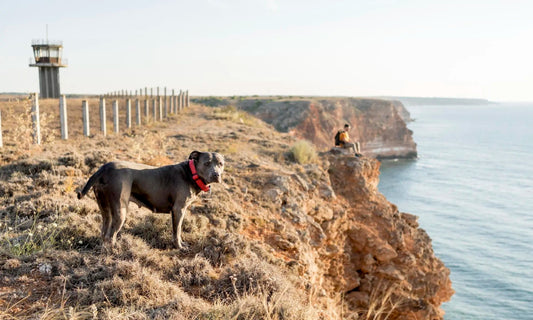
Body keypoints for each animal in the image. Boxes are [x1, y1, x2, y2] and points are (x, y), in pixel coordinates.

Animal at [76, 151, 222, 249]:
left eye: (220, 164)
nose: (216, 175)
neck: (191, 173)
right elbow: (178, 231)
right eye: (207, 163)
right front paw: (179, 247)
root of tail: (104, 168)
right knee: (110, 236)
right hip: (120, 210)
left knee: (104, 231)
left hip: (104, 207)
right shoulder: (178, 210)